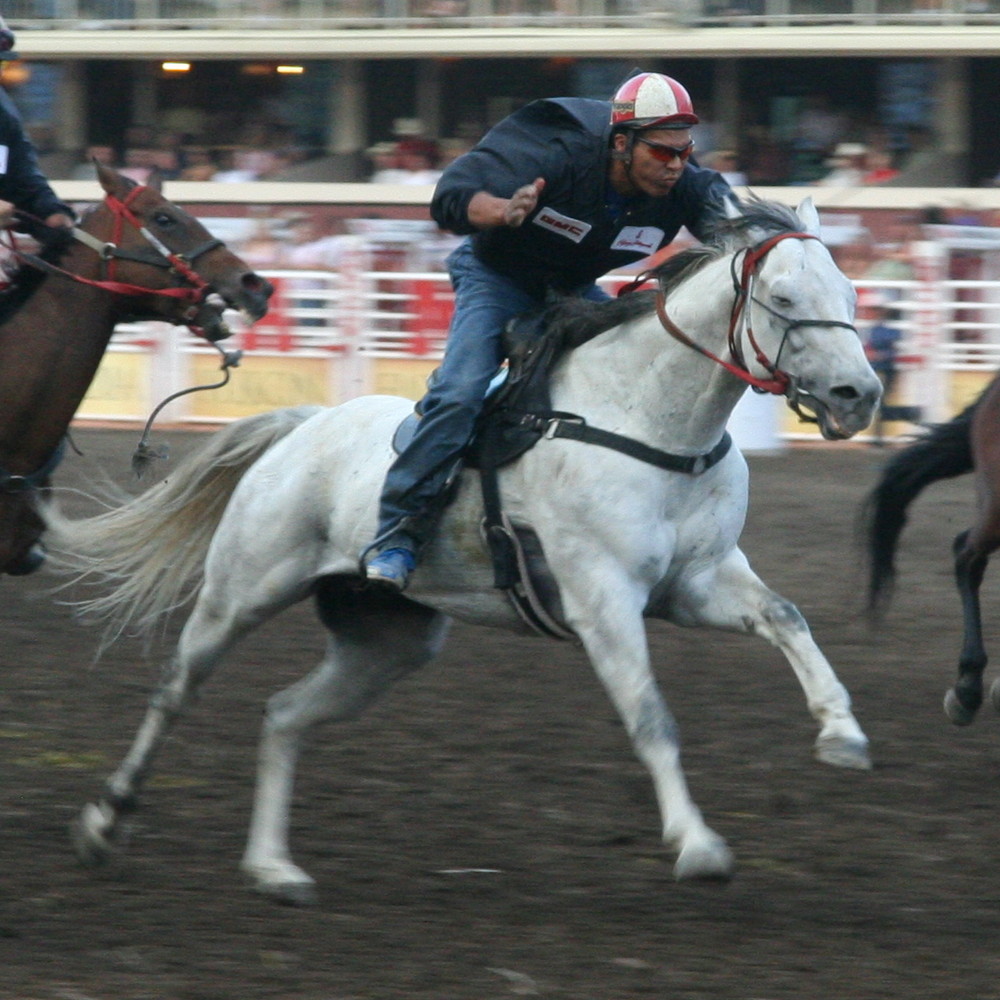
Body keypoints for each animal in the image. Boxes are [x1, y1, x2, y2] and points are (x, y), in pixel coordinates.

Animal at [48, 195, 884, 908]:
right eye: (784, 299)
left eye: (848, 292)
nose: (859, 396)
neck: (641, 420)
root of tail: (304, 425)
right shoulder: (602, 596)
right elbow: (651, 717)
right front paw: (698, 844)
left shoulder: (699, 582)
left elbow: (787, 617)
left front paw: (842, 733)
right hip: (241, 591)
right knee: (175, 691)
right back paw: (102, 825)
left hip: (388, 640)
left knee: (283, 715)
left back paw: (274, 869)